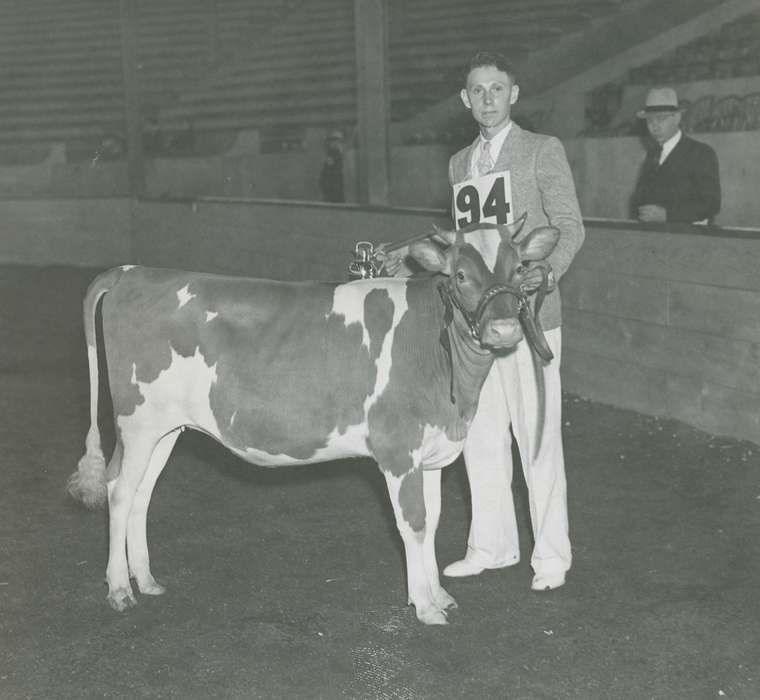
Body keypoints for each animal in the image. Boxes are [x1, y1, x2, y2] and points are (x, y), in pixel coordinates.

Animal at [67, 217, 559, 625]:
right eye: (459, 275)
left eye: (519, 269)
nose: (504, 331)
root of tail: (132, 271)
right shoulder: (398, 449)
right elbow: (413, 524)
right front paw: (424, 605)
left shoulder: (431, 451)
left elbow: (432, 522)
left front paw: (438, 594)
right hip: (137, 421)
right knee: (119, 491)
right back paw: (118, 588)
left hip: (165, 428)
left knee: (141, 495)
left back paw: (146, 580)